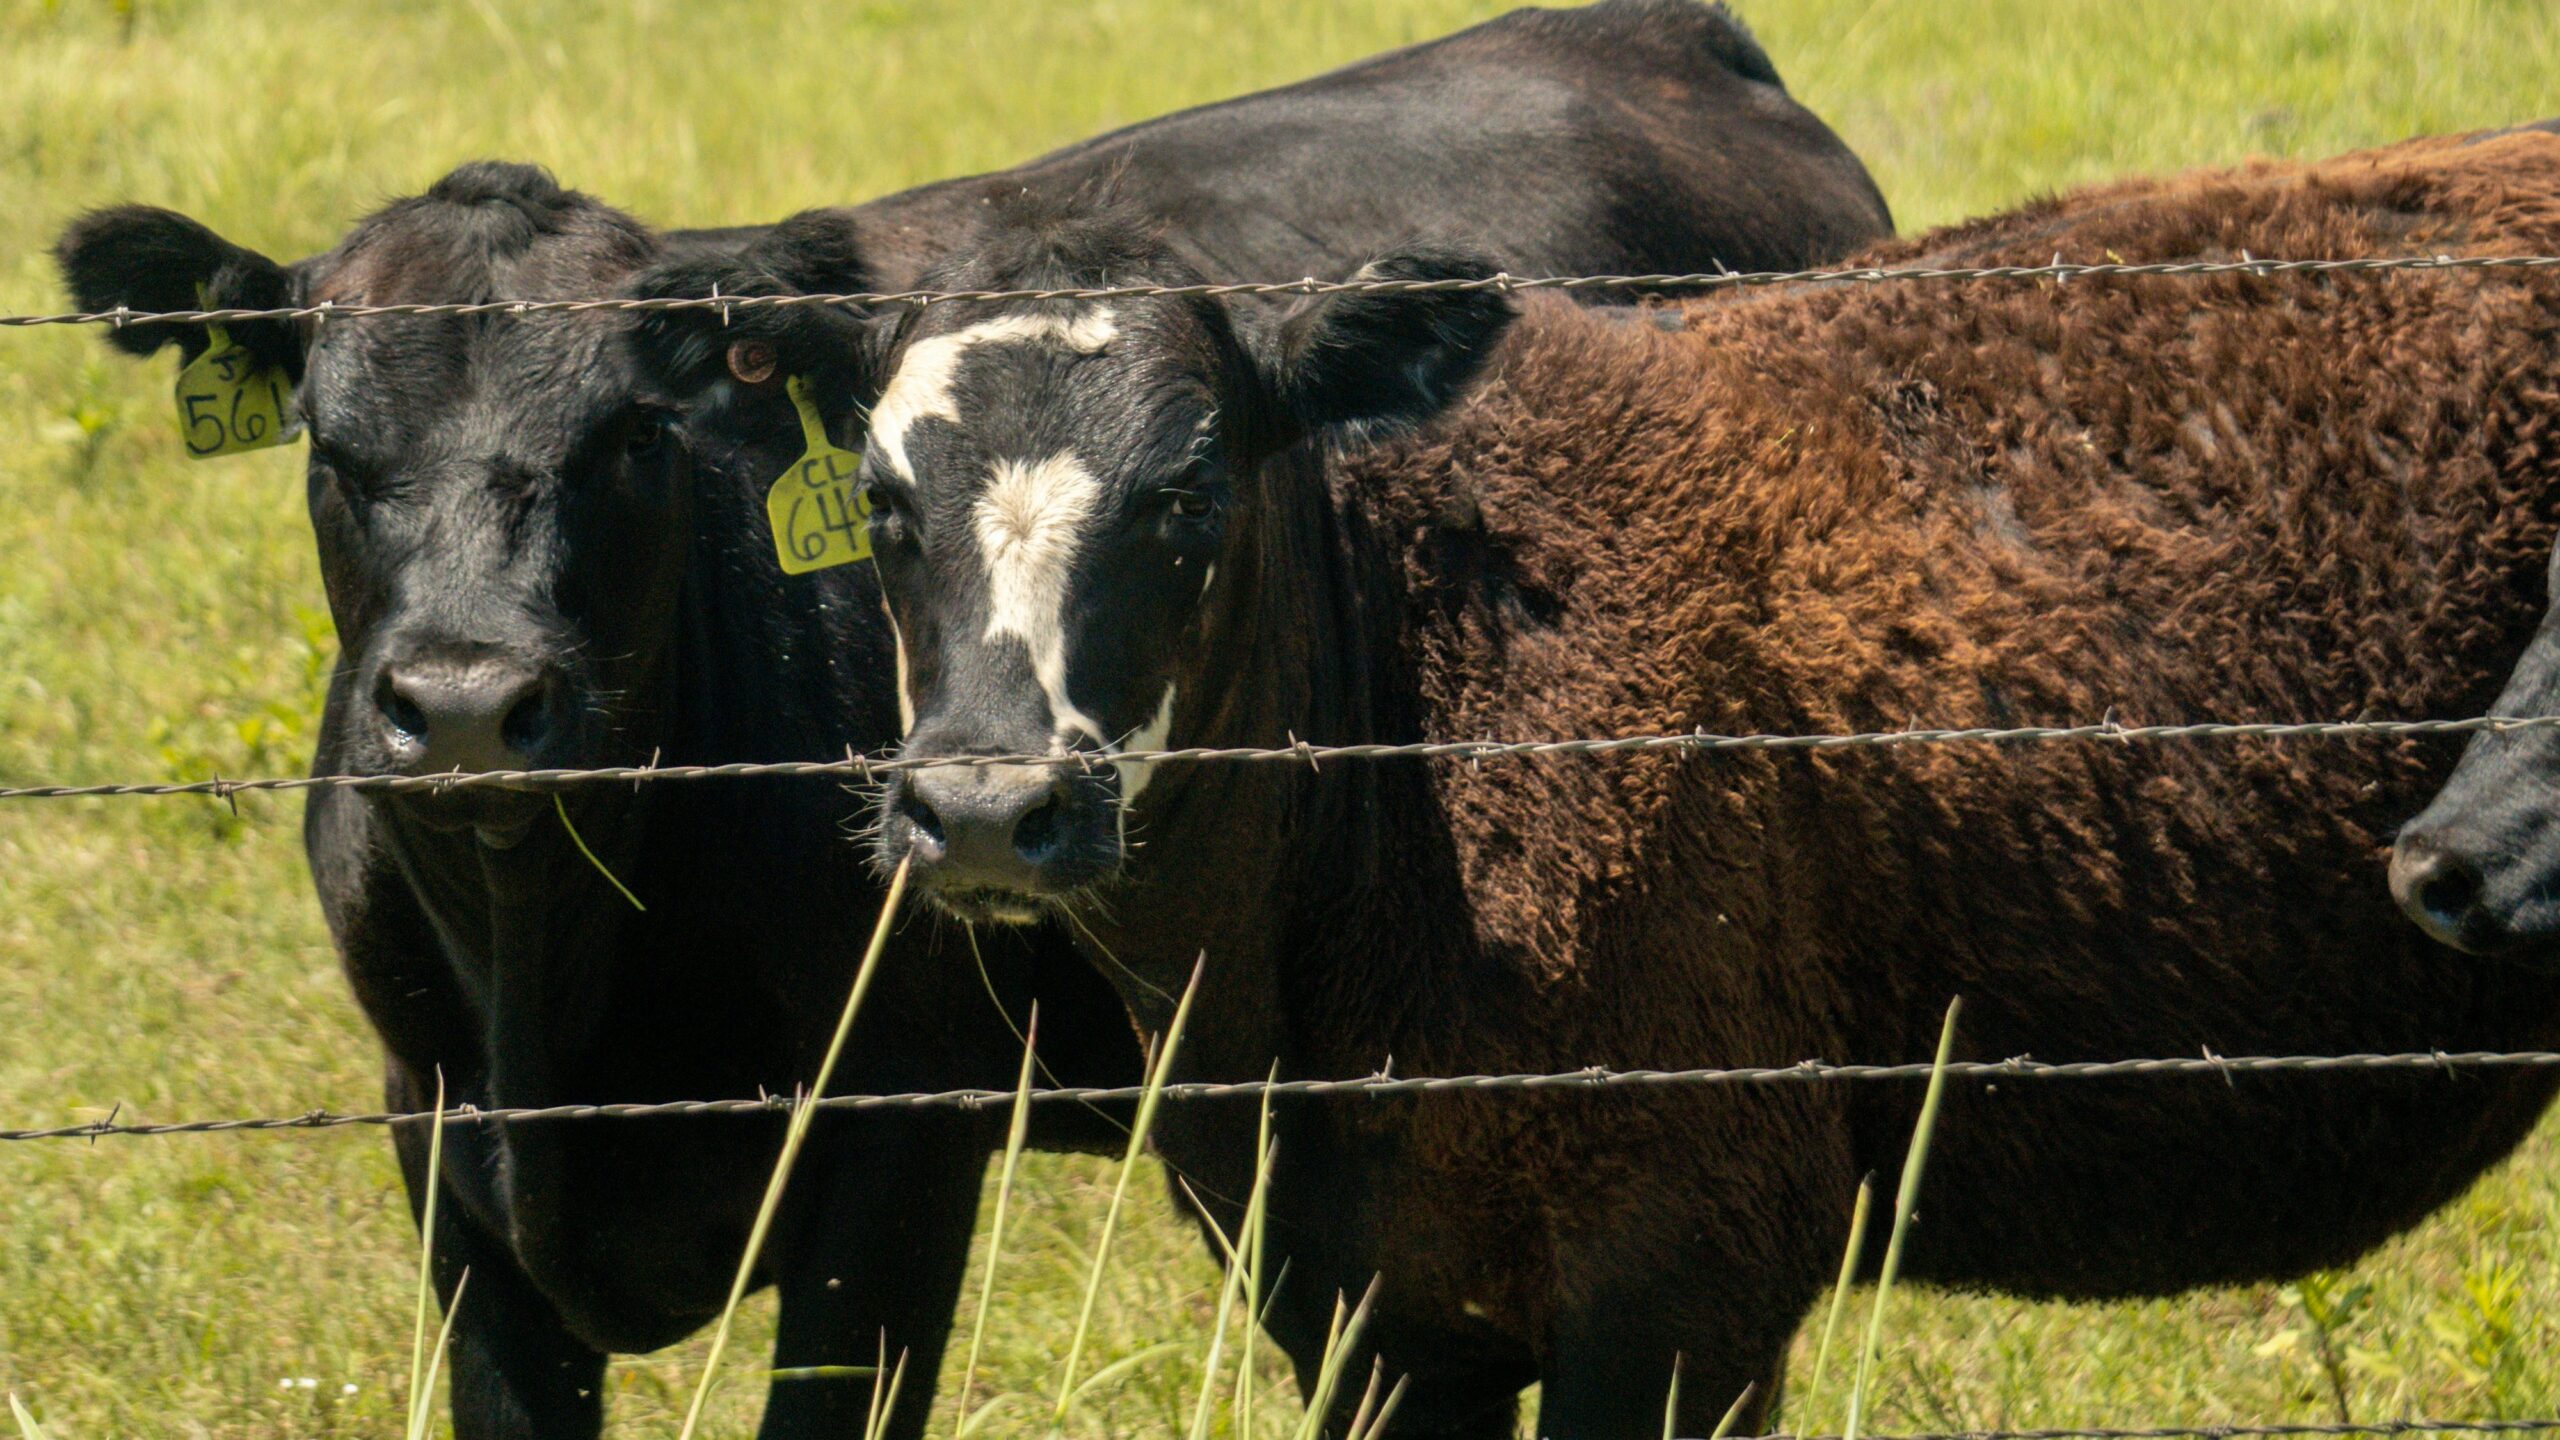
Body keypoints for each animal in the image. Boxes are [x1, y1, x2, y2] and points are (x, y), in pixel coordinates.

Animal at [51, 5, 1892, 1437]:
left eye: (633, 441)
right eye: (332, 447)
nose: (466, 703)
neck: (556, 987)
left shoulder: (898, 1148)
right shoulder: (446, 1158)